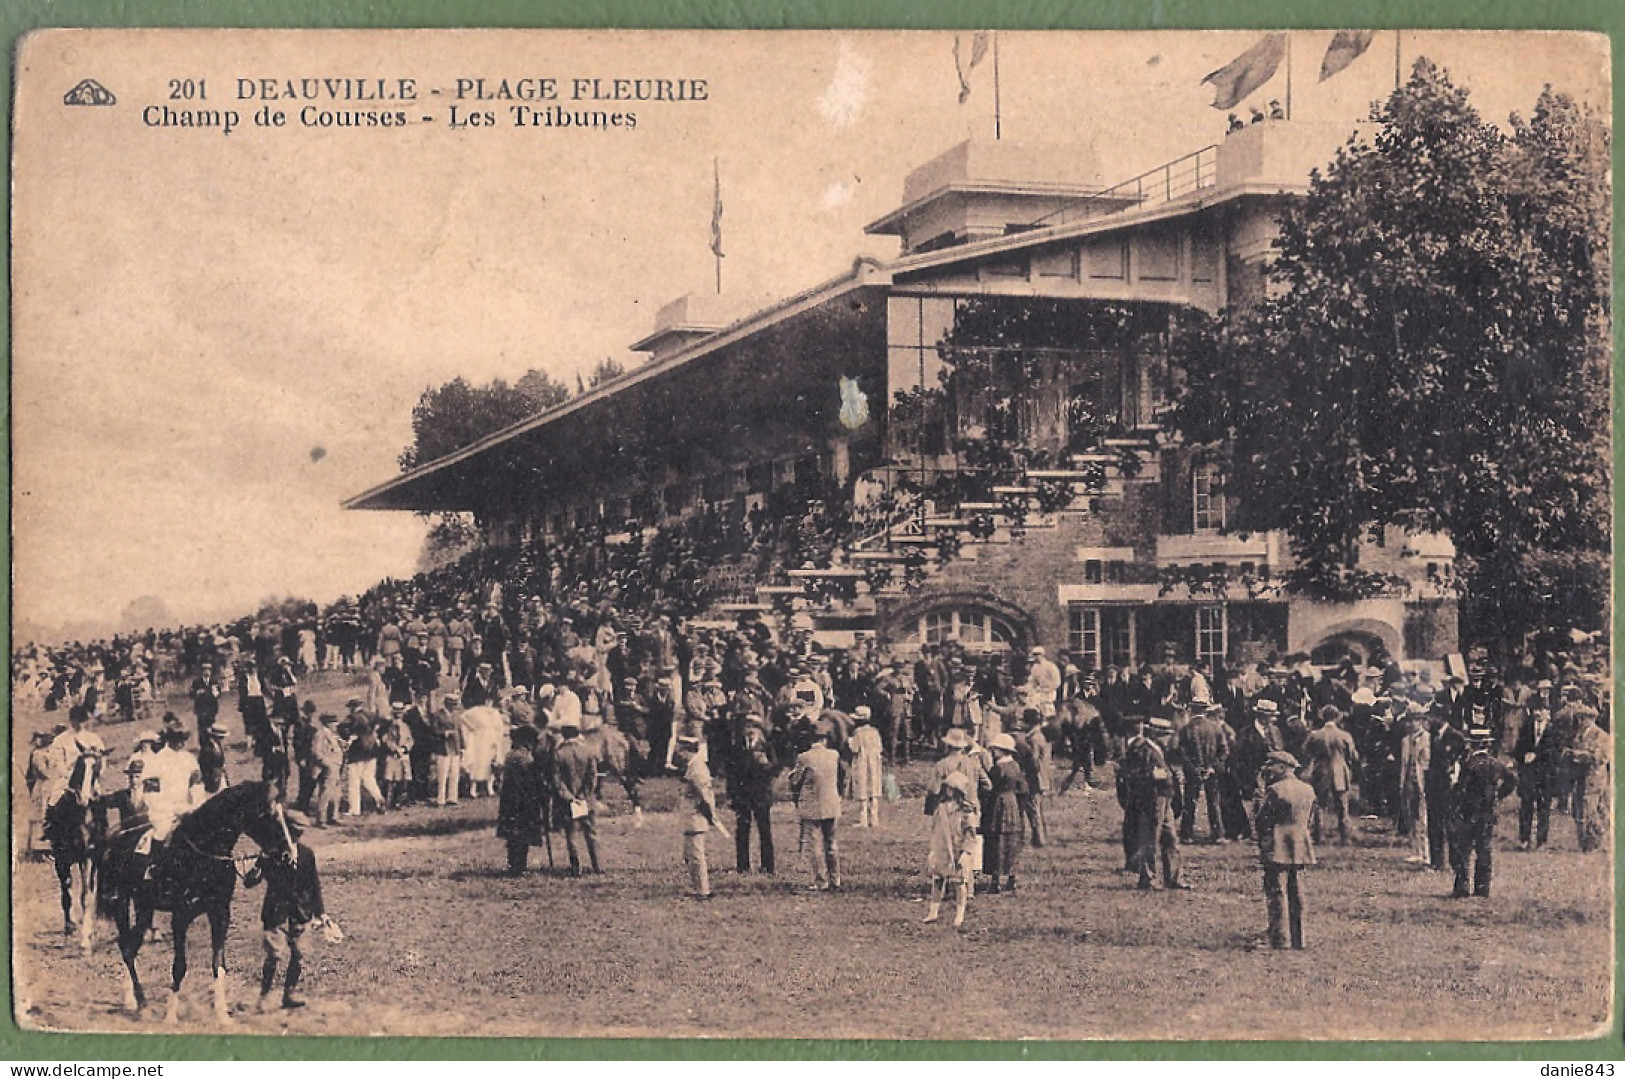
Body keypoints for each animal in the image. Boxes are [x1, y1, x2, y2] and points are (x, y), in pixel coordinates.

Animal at [96, 783, 294, 1020]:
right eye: (266, 814)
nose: (288, 854)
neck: (203, 853)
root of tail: (115, 837)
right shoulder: (180, 916)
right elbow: (179, 966)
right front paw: (171, 1016)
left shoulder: (220, 913)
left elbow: (218, 964)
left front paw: (222, 1015)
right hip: (121, 903)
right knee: (126, 947)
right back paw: (141, 1004)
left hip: (144, 907)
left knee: (130, 946)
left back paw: (132, 1000)